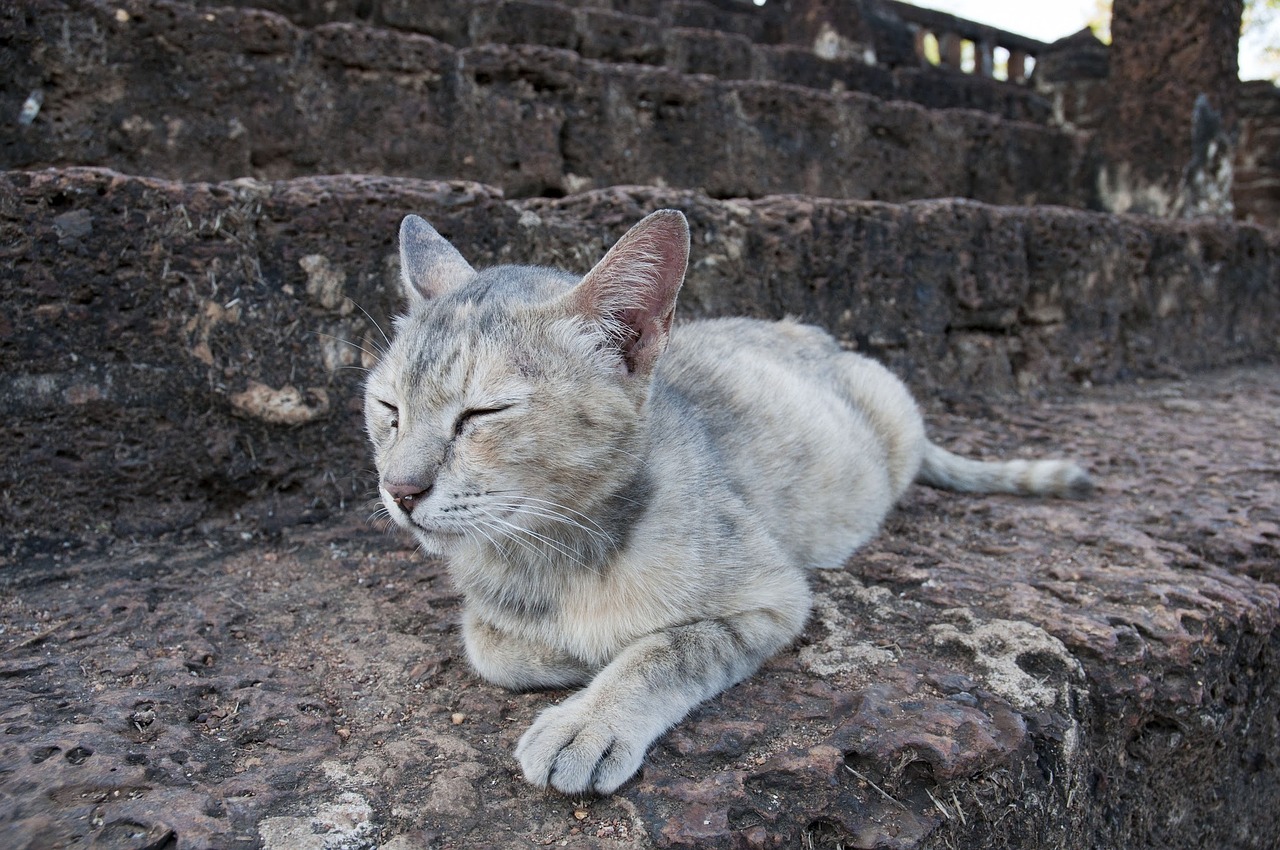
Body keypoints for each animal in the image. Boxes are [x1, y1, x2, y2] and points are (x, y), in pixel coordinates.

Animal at [363, 208, 1090, 793]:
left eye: (483, 413)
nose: (400, 490)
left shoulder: (772, 595)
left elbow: (665, 650)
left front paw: (589, 717)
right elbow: (492, 645)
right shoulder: (493, 619)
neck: (552, 551)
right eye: (388, 408)